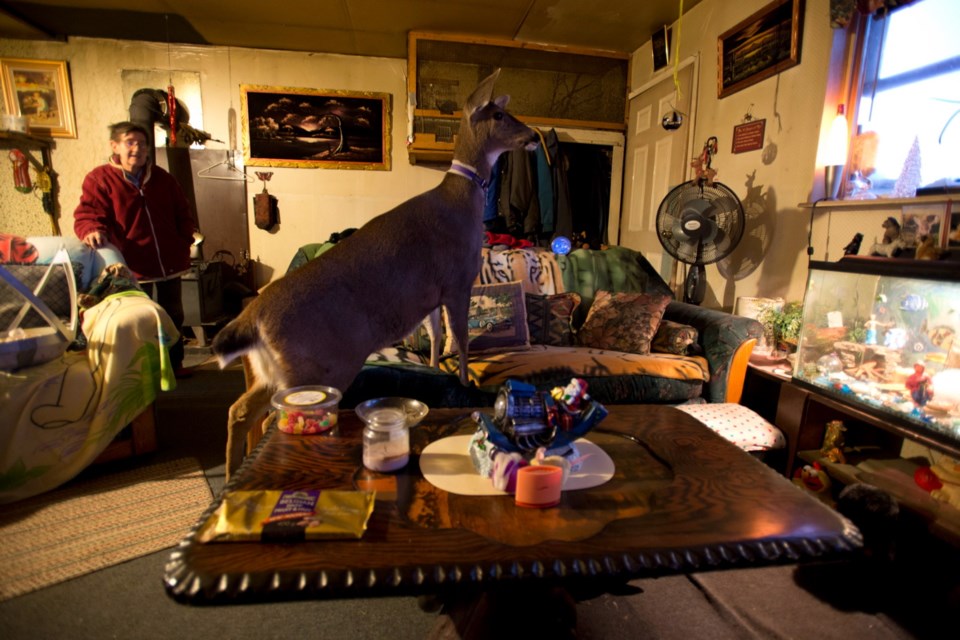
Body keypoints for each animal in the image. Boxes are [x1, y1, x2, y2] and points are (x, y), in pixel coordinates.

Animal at [213, 72, 536, 478]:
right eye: (498, 115)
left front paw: (435, 369)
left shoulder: (431, 295)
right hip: (317, 366)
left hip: (275, 371)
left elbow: (435, 336)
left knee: (238, 411)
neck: (462, 199)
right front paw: (462, 382)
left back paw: (231, 472)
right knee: (278, 417)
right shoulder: (458, 280)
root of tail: (252, 317)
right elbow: (460, 339)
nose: (534, 135)